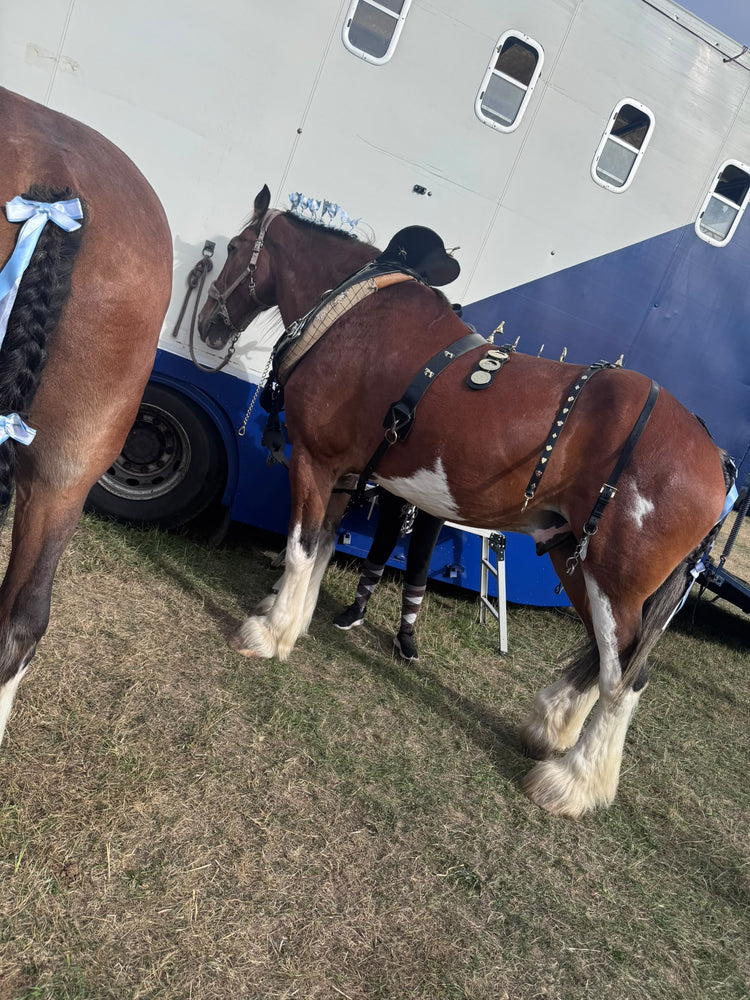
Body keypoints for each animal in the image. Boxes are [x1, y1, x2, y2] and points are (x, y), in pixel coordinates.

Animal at [198, 185, 733, 818]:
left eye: (235, 246)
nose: (206, 324)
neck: (354, 316)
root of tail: (714, 457)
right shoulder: (347, 473)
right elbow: (323, 547)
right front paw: (292, 621)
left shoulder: (316, 460)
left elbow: (302, 547)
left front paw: (268, 633)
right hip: (576, 558)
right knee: (601, 657)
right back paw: (549, 725)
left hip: (616, 578)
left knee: (625, 678)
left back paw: (572, 783)